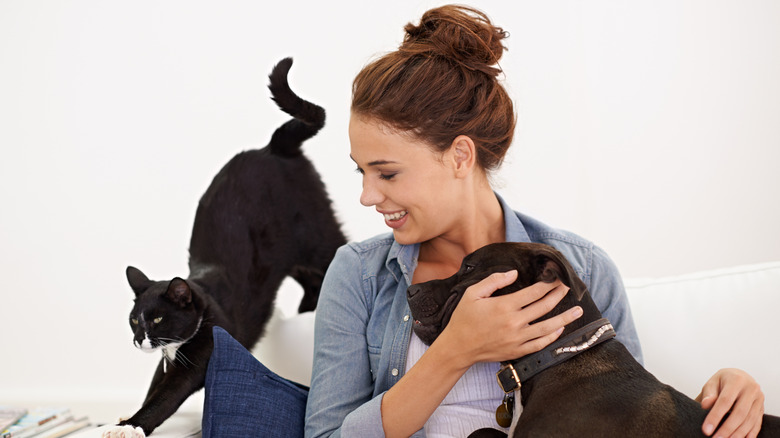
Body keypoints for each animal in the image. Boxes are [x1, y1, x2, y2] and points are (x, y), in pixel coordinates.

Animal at [103, 58, 344, 438]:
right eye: (133, 320)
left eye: (156, 318)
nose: (139, 339)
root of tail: (273, 147)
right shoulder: (168, 362)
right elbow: (153, 387)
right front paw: (126, 416)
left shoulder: (195, 363)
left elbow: (163, 400)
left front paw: (132, 426)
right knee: (310, 281)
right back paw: (309, 308)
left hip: (317, 236)